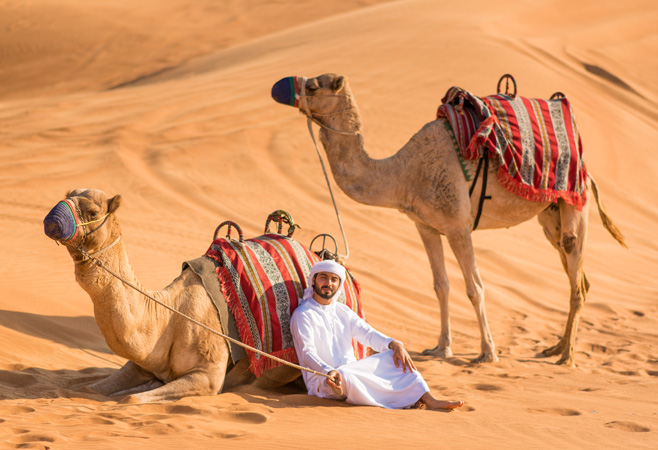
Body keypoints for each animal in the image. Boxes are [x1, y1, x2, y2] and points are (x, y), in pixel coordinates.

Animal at [43, 189, 300, 402]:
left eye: (93, 212)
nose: (51, 220)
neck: (170, 314)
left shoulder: (208, 377)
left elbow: (131, 398)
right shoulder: (140, 365)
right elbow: (86, 389)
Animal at [274, 73, 626, 366]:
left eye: (313, 86)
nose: (279, 86)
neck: (403, 174)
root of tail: (587, 172)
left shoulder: (458, 225)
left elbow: (475, 288)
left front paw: (487, 352)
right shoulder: (425, 226)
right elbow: (440, 285)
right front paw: (441, 348)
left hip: (574, 201)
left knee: (574, 270)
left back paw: (567, 357)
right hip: (550, 214)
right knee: (578, 276)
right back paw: (556, 347)